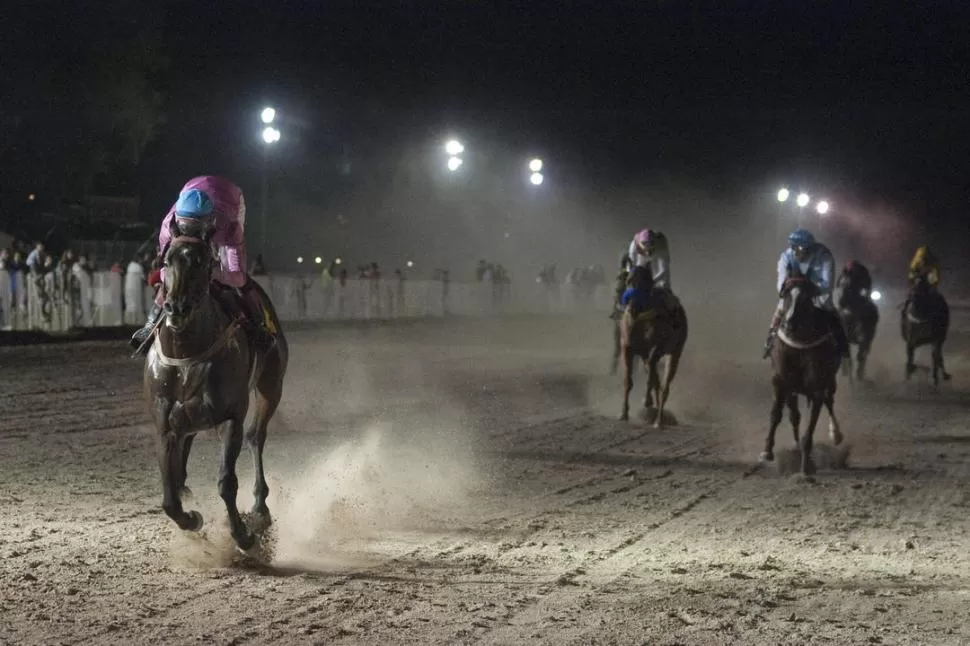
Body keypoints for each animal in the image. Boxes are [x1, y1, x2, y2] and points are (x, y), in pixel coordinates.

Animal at [143, 235, 288, 556]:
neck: (187, 356)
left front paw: (244, 536)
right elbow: (169, 498)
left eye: (202, 262)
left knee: (256, 436)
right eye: (166, 261)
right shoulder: (164, 425)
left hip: (271, 386)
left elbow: (227, 483)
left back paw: (260, 506)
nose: (177, 308)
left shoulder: (230, 417)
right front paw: (192, 519)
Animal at [760, 276, 844, 478]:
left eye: (806, 299)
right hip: (794, 390)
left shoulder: (817, 389)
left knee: (829, 402)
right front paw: (767, 451)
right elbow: (776, 415)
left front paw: (804, 470)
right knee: (794, 416)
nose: (789, 324)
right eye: (786, 295)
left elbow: (810, 428)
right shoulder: (780, 382)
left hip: (830, 382)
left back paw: (835, 434)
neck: (799, 346)